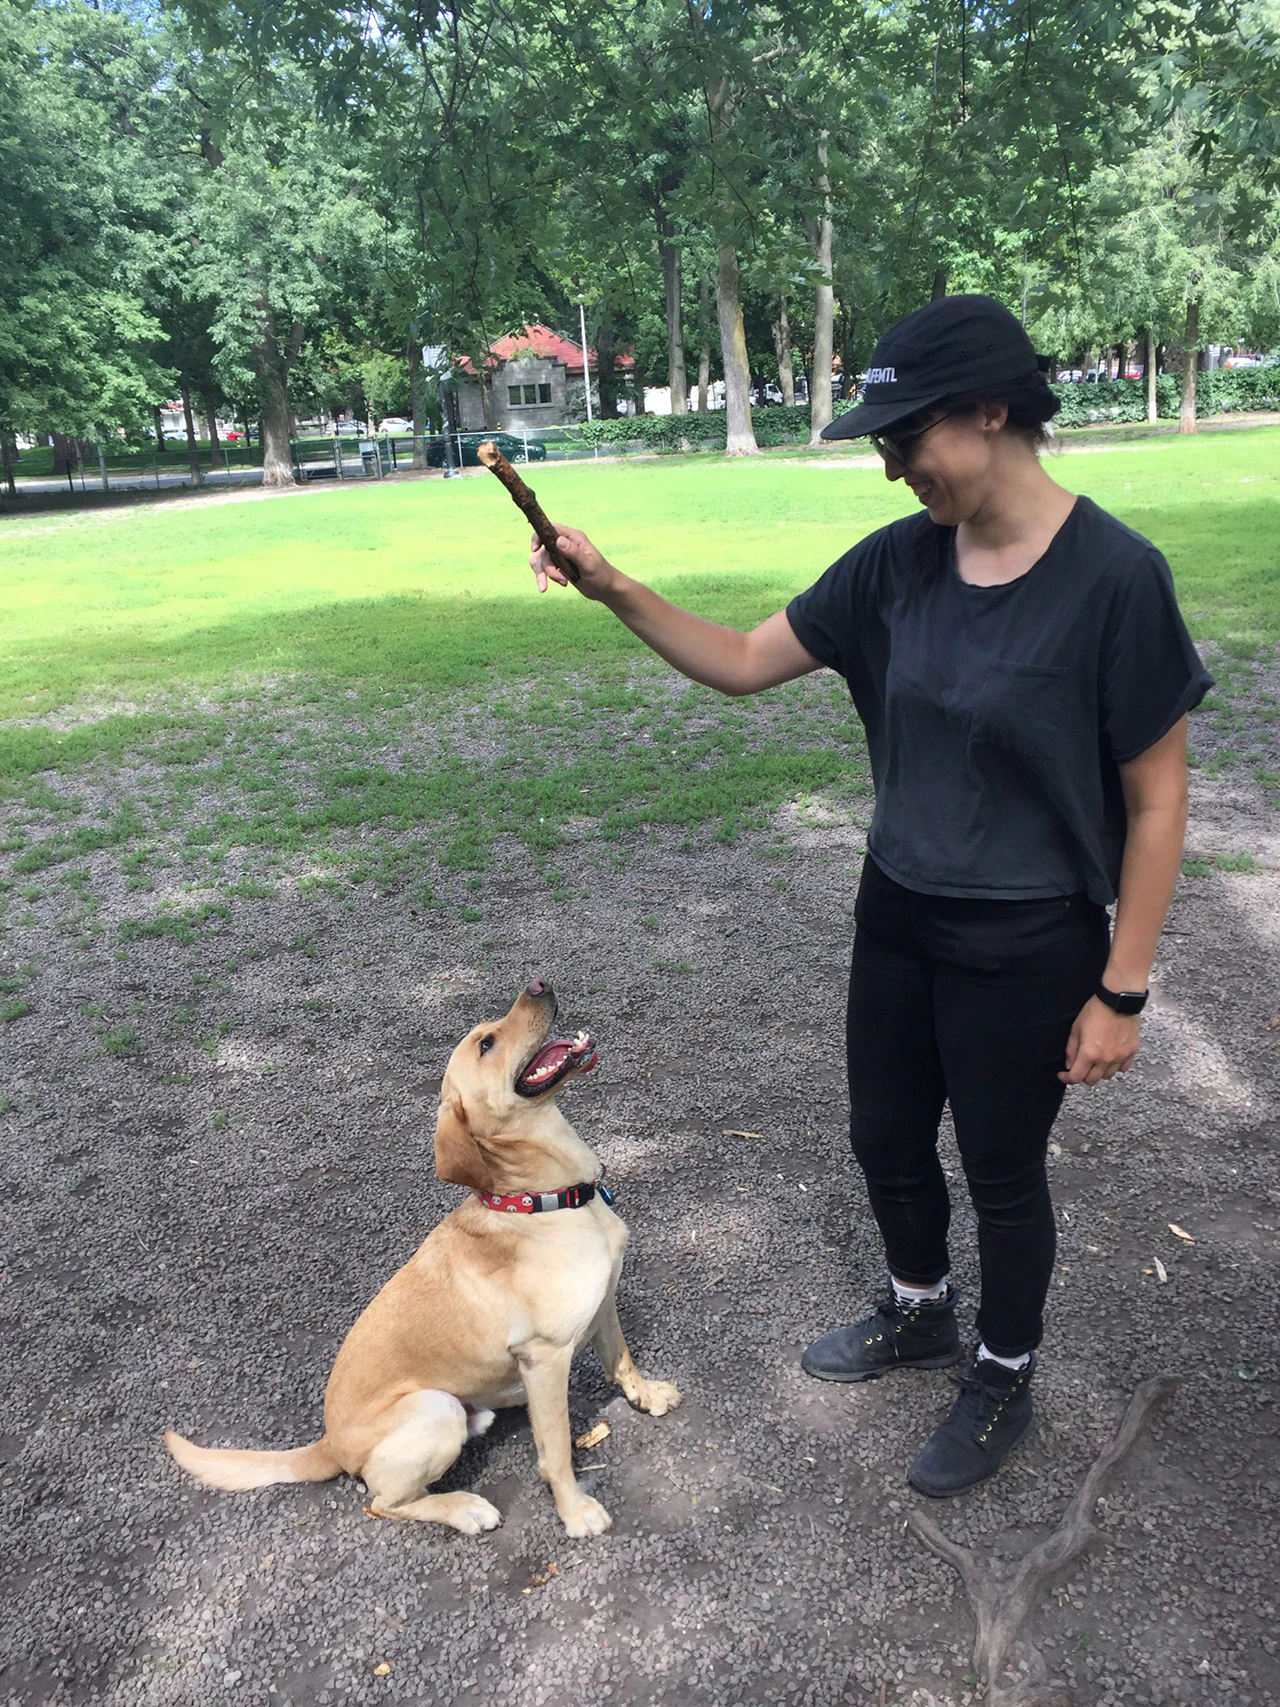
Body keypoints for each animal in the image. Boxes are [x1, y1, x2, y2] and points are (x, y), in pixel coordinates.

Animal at [168, 983, 682, 1543]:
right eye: (486, 1044)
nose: (538, 985)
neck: (546, 1202)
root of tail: (329, 1443)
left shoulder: (603, 1304)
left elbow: (621, 1360)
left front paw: (647, 1395)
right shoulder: (544, 1358)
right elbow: (557, 1452)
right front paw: (575, 1512)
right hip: (436, 1408)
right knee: (383, 1503)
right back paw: (464, 1509)